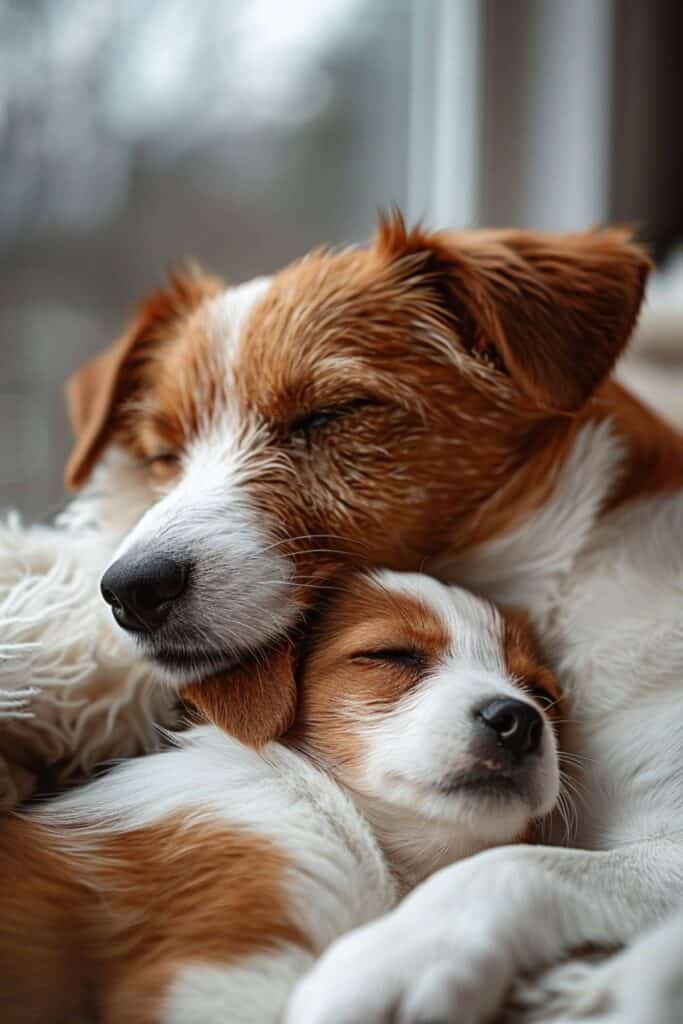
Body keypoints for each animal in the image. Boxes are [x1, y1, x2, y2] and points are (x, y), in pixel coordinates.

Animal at [62, 211, 683, 1019]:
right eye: (164, 454)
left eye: (328, 414)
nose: (129, 590)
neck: (565, 587)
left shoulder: (663, 842)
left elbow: (517, 861)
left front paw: (394, 957)